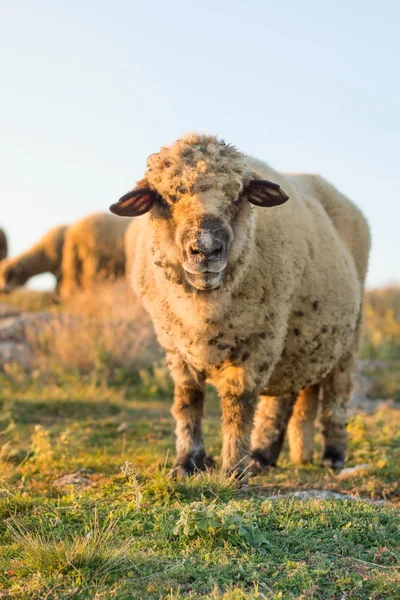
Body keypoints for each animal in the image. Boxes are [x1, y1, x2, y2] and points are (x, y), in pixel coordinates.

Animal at [111, 134, 370, 476]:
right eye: (165, 198)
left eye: (237, 196)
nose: (206, 250)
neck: (204, 311)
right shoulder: (175, 344)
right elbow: (188, 400)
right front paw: (187, 462)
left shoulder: (258, 339)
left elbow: (238, 405)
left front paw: (234, 469)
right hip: (297, 337)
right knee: (285, 397)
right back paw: (263, 455)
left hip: (346, 335)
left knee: (337, 395)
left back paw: (333, 455)